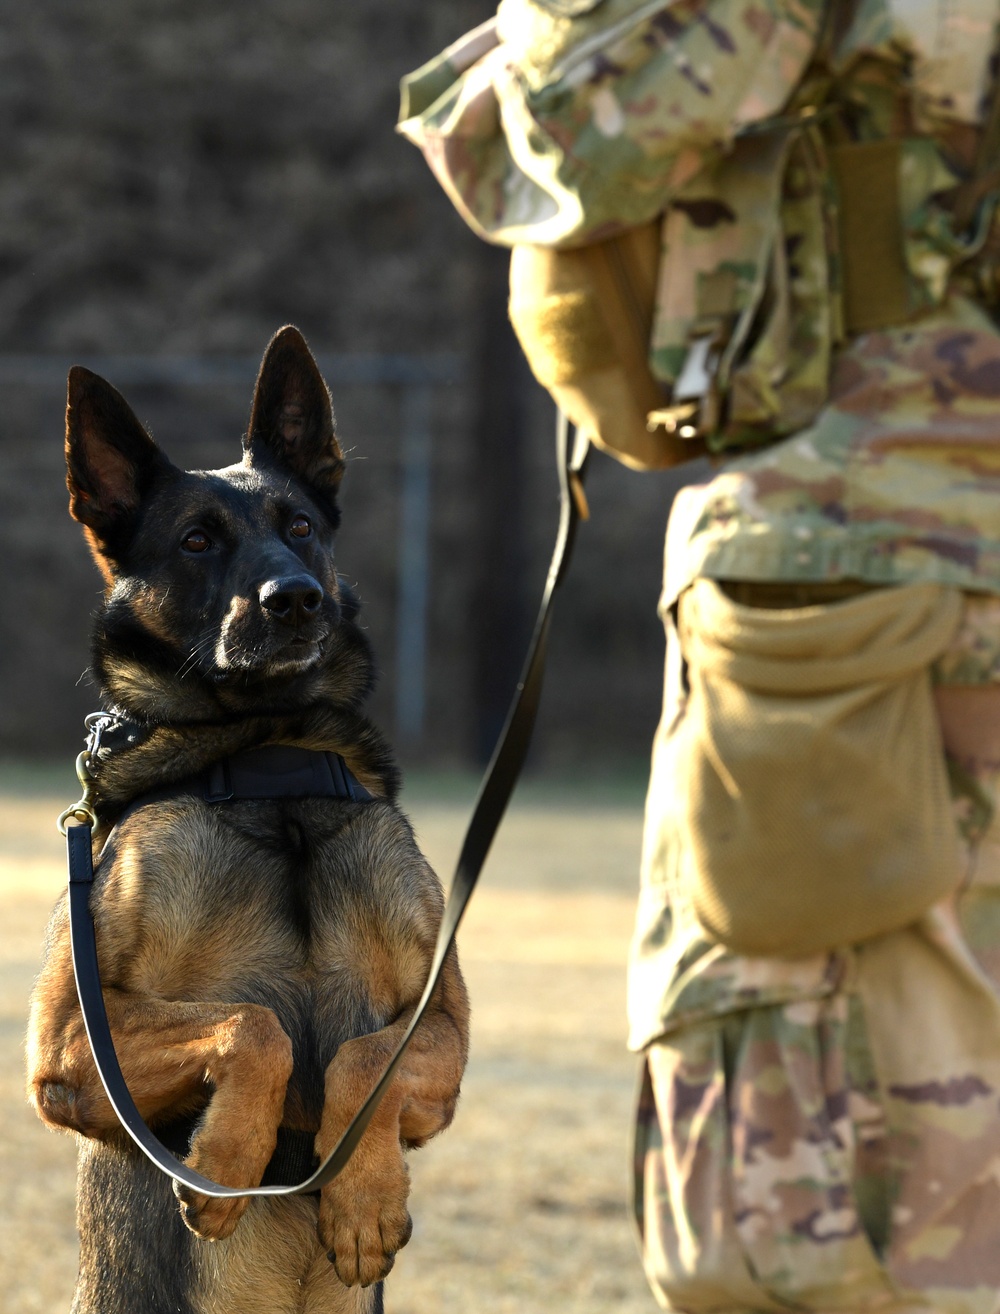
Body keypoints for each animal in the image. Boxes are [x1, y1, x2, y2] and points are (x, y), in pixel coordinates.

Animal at [25, 328, 470, 1314]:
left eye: (299, 526)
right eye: (197, 540)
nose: (295, 598)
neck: (268, 756)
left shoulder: (444, 1034)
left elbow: (361, 1062)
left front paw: (363, 1200)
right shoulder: (69, 1046)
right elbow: (253, 1025)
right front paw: (225, 1163)